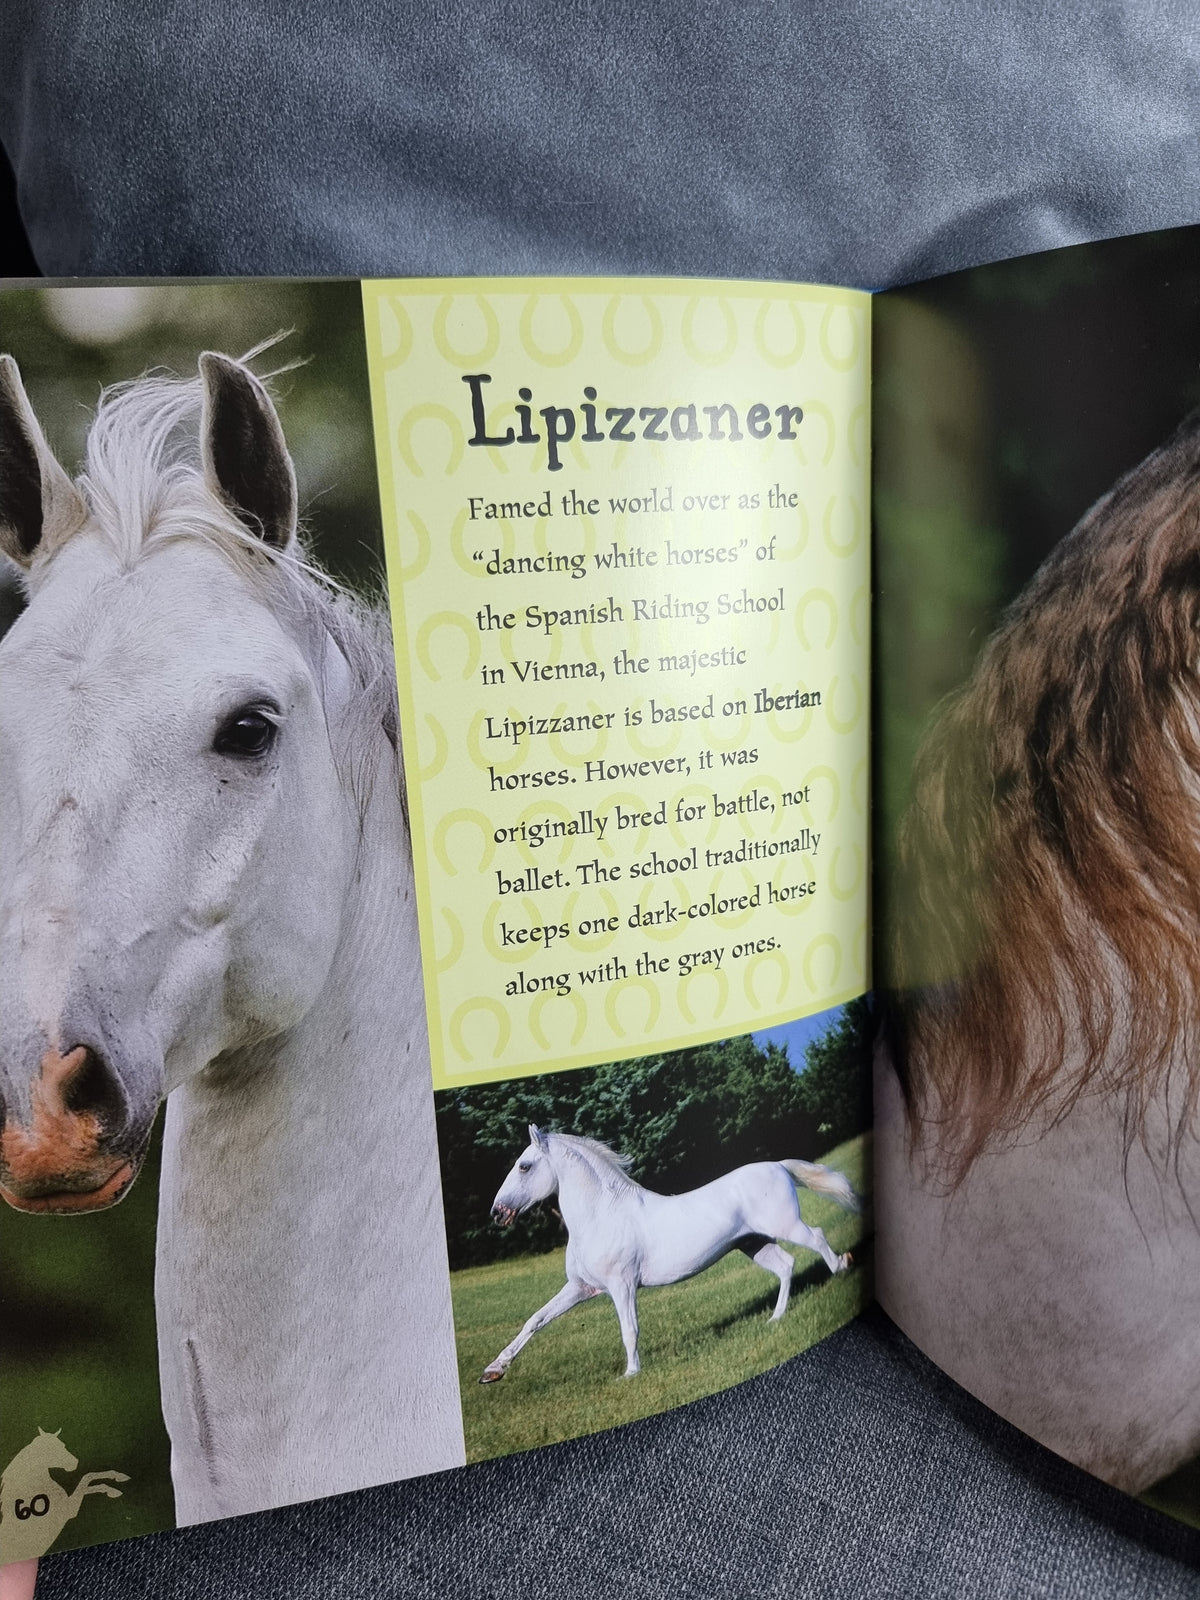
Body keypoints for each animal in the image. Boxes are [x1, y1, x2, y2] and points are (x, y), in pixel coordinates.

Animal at [1, 1429, 127, 1563]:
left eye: (63, 1445)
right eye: (50, 1449)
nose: (75, 1462)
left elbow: (89, 1478)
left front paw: (119, 1476)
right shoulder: (69, 1509)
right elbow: (86, 1480)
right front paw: (113, 1490)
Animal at [480, 1125, 860, 1382]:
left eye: (524, 1166)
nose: (497, 1213)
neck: (602, 1214)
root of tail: (778, 1165)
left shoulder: (621, 1285)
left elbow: (629, 1329)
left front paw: (630, 1374)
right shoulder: (580, 1287)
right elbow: (535, 1320)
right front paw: (493, 1371)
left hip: (787, 1227)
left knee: (817, 1238)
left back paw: (842, 1267)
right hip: (754, 1244)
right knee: (786, 1265)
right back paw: (776, 1318)